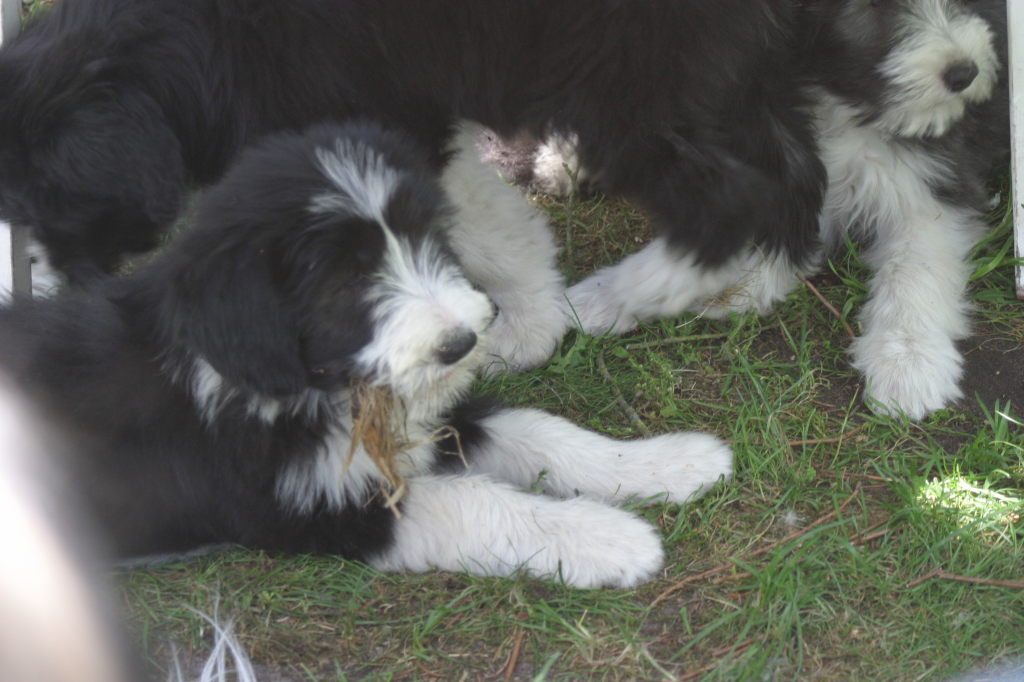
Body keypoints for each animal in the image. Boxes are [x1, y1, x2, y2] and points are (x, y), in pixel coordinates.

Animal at [0, 0, 823, 368]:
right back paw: (756, 283)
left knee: (742, 192)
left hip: (630, 74)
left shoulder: (393, 110)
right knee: (793, 169)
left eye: (41, 209)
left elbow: (476, 222)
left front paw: (523, 329)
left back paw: (616, 297)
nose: (25, 299)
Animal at [0, 123, 733, 589]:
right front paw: (612, 540)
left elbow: (541, 433)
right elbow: (478, 505)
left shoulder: (421, 421)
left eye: (426, 242)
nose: (461, 343)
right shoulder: (319, 511)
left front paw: (672, 463)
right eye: (346, 282)